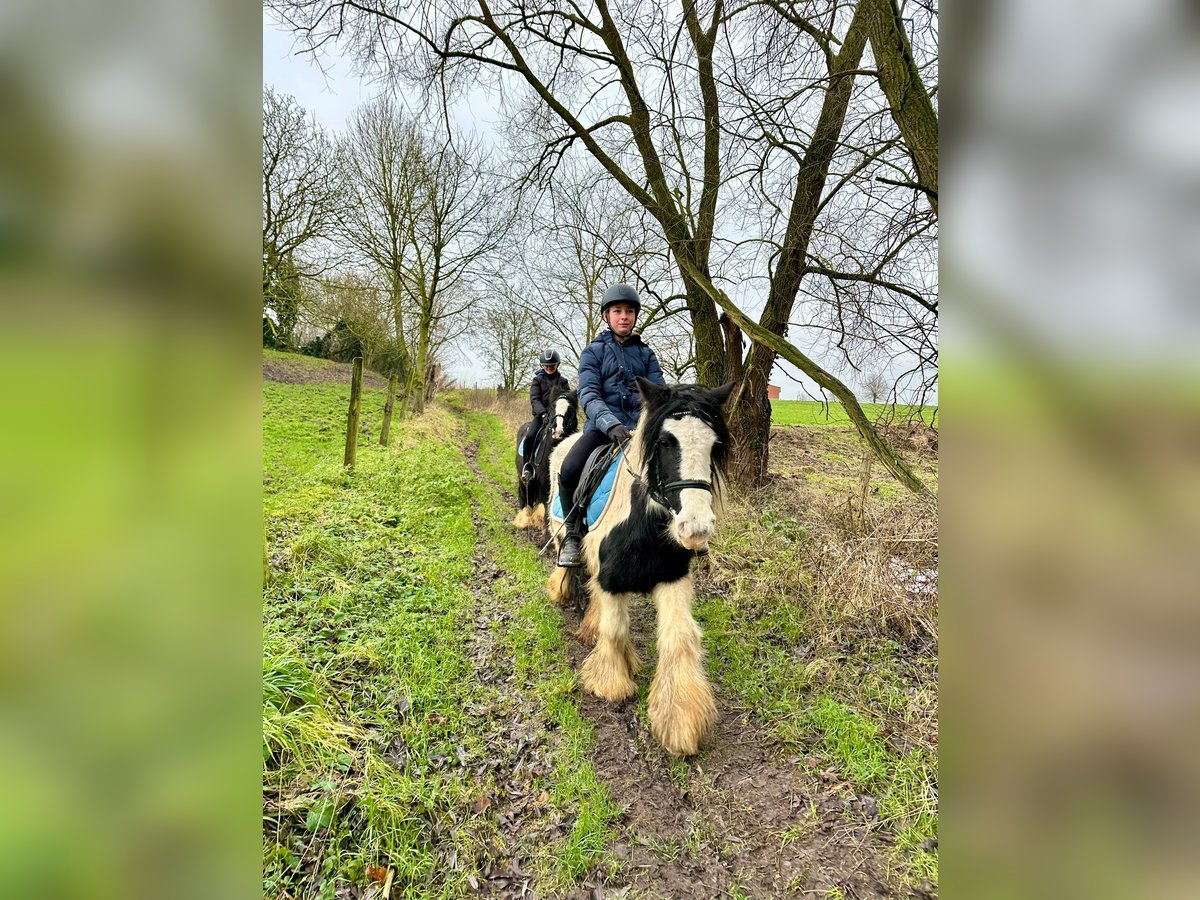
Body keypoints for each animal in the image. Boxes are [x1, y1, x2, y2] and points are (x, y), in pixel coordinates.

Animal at [511, 381, 576, 535]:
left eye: (570, 410)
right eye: (552, 407)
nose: (558, 431)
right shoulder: (543, 486)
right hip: (523, 478)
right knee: (525, 497)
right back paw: (523, 519)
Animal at [549, 376, 734, 758]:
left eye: (714, 445)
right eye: (665, 442)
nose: (696, 528)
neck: (643, 524)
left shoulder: (672, 579)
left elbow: (679, 637)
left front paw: (680, 719)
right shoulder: (611, 580)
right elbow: (615, 629)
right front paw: (611, 681)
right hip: (560, 532)